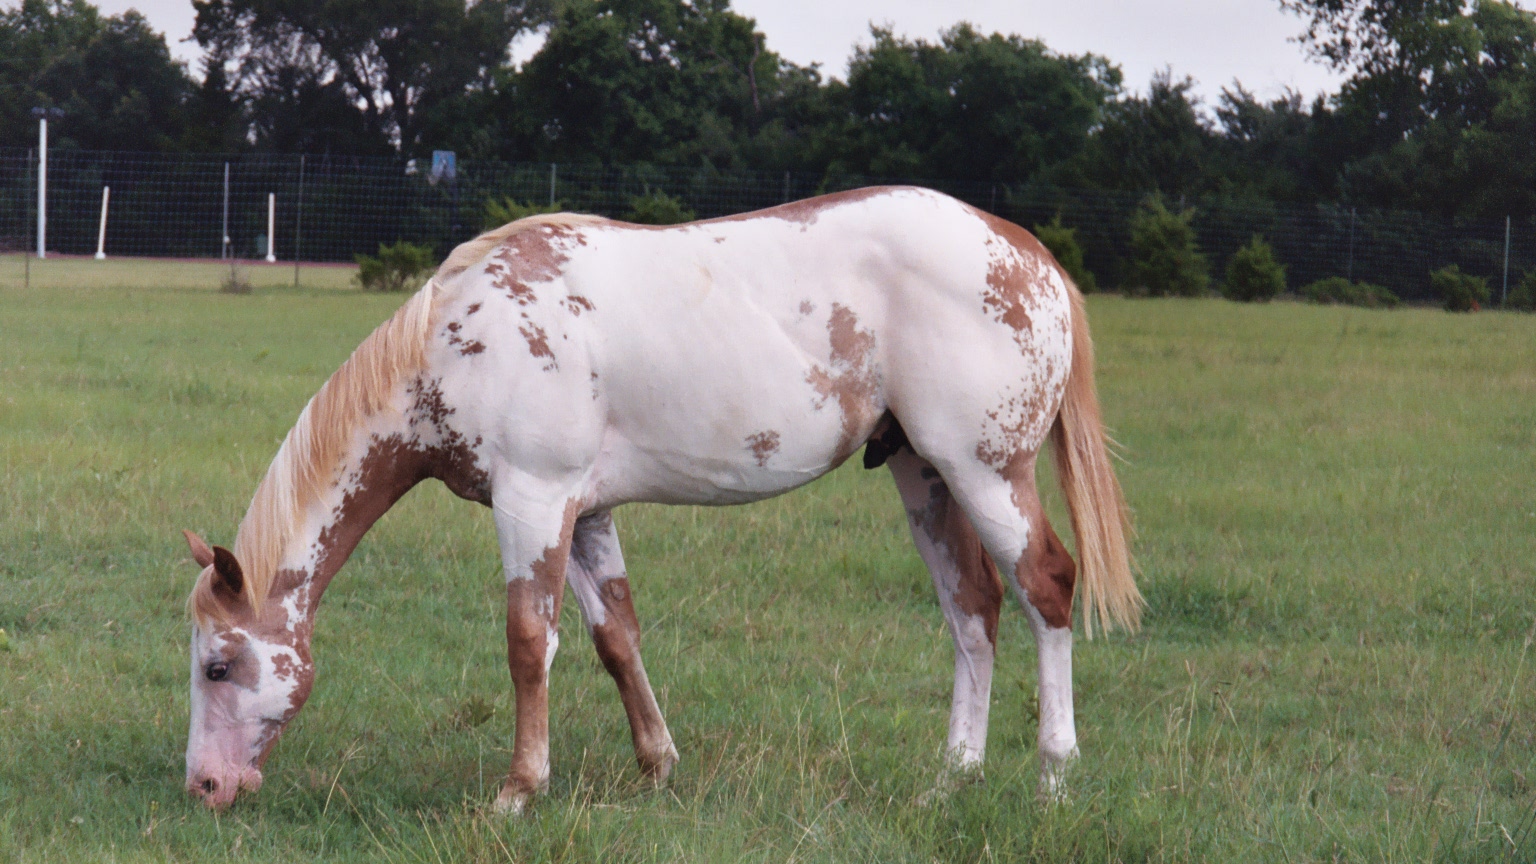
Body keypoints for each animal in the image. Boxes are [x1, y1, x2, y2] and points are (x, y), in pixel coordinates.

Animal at [180, 185, 1141, 813]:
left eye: (217, 667)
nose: (204, 785)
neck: (459, 341)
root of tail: (1027, 252)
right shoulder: (585, 513)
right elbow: (616, 637)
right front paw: (658, 765)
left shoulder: (533, 502)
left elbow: (529, 643)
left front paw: (519, 789)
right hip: (925, 477)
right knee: (972, 612)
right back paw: (954, 777)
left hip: (986, 472)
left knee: (1046, 589)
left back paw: (1054, 776)